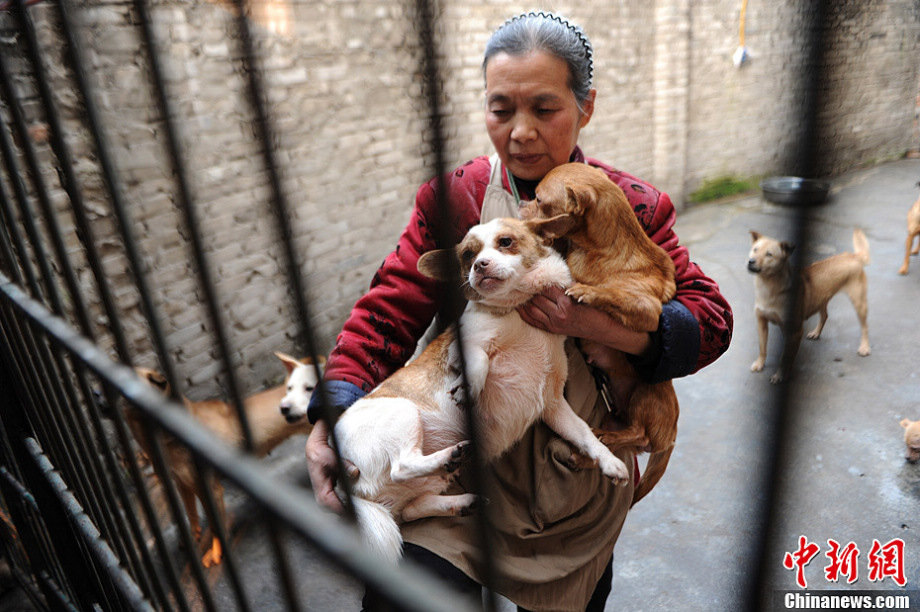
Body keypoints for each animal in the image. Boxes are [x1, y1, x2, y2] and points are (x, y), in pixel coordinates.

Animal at [126, 352, 320, 568]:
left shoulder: (210, 489)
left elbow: (214, 524)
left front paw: (215, 553)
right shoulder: (183, 484)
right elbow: (192, 514)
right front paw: (192, 537)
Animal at [520, 160, 680, 504]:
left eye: (539, 199)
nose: (522, 204)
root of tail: (670, 438)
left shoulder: (649, 312)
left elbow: (611, 293)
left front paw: (587, 291)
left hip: (646, 391)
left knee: (638, 432)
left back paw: (602, 439)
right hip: (615, 414)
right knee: (618, 443)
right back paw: (589, 452)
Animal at [748, 228, 868, 382]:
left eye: (769, 254)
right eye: (755, 249)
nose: (751, 262)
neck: (768, 287)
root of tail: (854, 256)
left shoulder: (795, 331)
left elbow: (785, 358)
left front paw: (780, 375)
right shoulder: (761, 321)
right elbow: (762, 347)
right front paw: (759, 364)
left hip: (859, 302)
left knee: (865, 327)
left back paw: (865, 347)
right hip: (821, 298)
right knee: (825, 315)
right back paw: (816, 333)